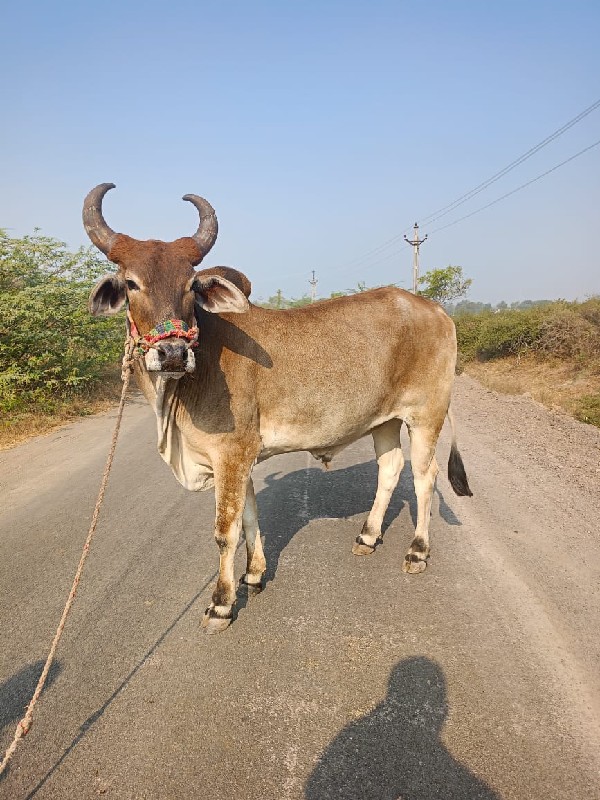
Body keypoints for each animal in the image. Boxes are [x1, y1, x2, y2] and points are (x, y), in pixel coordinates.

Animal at [84, 184, 472, 636]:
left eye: (190, 285)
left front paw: (221, 604)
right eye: (131, 283)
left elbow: (226, 531)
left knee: (425, 477)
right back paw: (368, 536)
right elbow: (250, 516)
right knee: (390, 468)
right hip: (385, 421)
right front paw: (254, 573)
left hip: (426, 415)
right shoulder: (240, 458)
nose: (174, 353)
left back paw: (417, 551)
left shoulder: (231, 453)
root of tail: (436, 310)